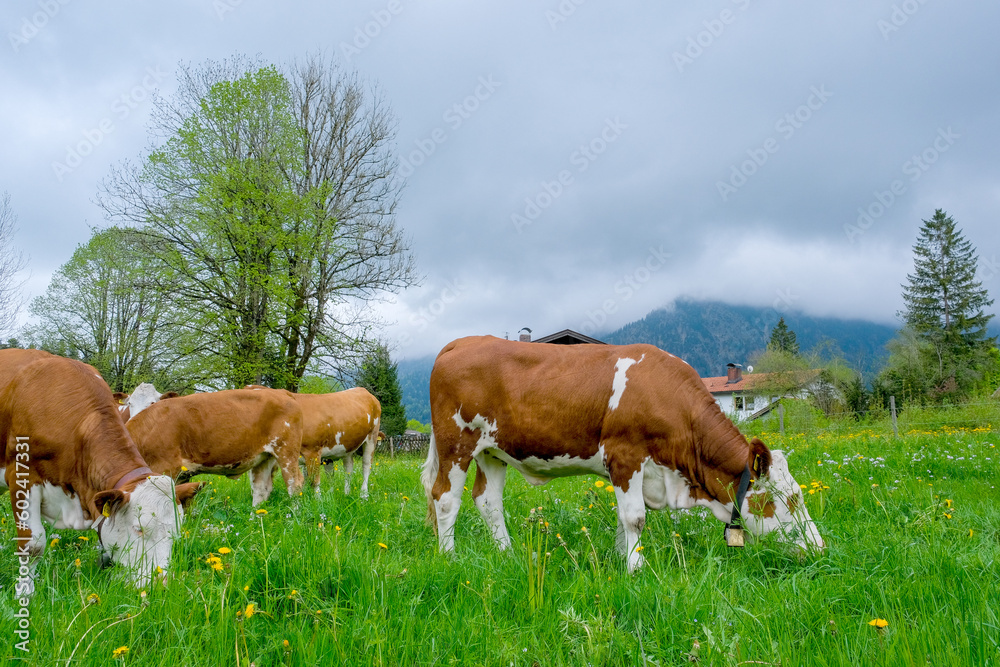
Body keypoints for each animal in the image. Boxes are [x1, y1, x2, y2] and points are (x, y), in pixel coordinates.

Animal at [0, 350, 203, 596]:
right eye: (139, 529)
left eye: (176, 532)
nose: (160, 585)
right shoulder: (22, 478)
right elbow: (33, 545)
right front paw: (25, 593)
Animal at [126, 388, 320, 504]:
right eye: (129, 404)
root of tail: (282, 392)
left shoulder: (166, 468)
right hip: (264, 457)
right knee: (261, 489)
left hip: (287, 451)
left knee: (295, 484)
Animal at [418, 336, 824, 572]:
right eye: (791, 498)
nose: (820, 548)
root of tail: (460, 342)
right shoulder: (625, 456)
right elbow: (635, 518)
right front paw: (635, 567)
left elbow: (622, 517)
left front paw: (621, 557)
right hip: (457, 443)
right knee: (445, 498)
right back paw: (448, 557)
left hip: (493, 452)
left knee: (488, 501)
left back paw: (507, 554)